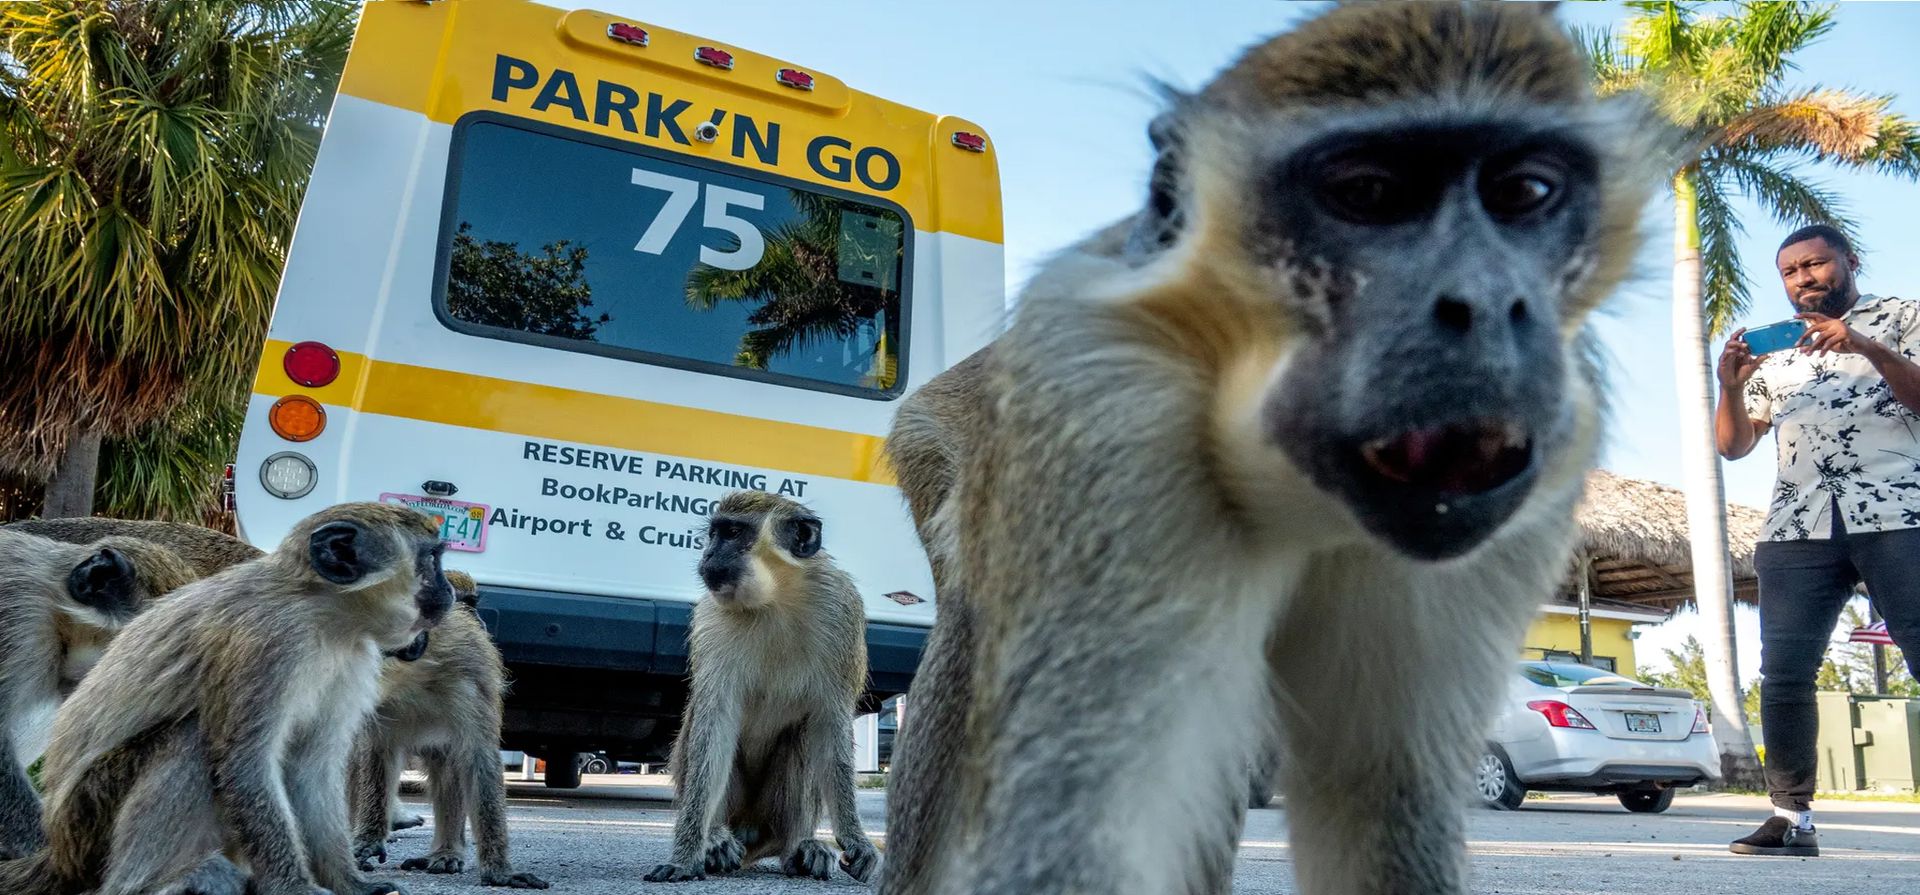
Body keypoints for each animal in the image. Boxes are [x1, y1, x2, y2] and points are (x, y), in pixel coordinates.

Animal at [350, 570, 548, 889]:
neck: (412, 677)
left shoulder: (472, 678)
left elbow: (478, 759)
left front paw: (499, 870)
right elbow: (375, 751)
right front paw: (369, 837)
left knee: (449, 761)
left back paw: (447, 851)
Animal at [644, 491, 881, 884]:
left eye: (733, 533)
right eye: (714, 534)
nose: (708, 555)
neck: (776, 598)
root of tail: (754, 835)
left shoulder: (842, 609)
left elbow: (830, 723)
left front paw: (855, 838)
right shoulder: (711, 619)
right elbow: (714, 725)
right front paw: (687, 854)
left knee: (804, 736)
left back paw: (799, 848)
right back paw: (716, 839)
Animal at [876, 3, 1676, 894]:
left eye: (1525, 193)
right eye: (1368, 194)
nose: (1488, 303)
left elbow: (1382, 797)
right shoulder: (1105, 413)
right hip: (936, 446)